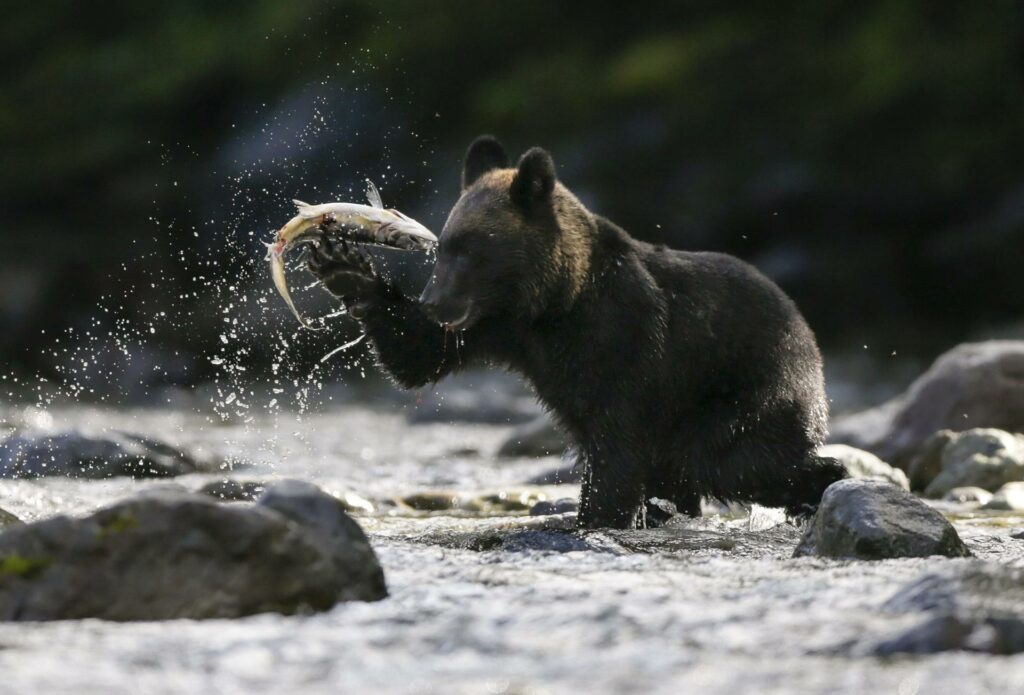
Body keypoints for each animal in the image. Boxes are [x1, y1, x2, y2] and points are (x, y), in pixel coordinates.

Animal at [305, 135, 847, 529]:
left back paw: (823, 483)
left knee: (729, 458)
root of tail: (808, 334)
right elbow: (418, 355)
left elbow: (616, 448)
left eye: (471, 249)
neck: (553, 303)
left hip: (744, 391)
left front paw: (592, 519)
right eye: (443, 248)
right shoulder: (499, 330)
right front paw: (343, 264)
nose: (436, 302)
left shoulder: (625, 342)